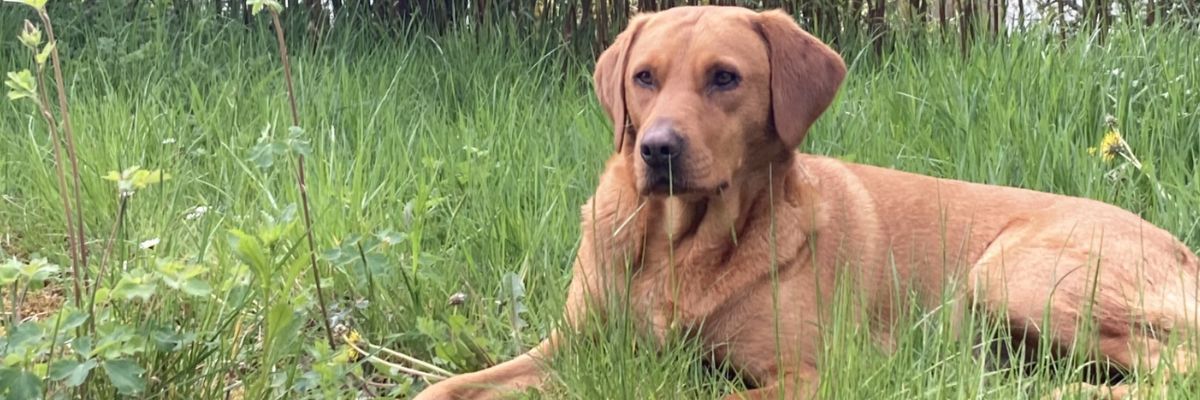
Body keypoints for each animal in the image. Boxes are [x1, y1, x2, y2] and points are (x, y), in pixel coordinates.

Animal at [416, 6, 1200, 399]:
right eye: (643, 77)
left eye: (725, 77)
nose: (657, 149)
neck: (681, 246)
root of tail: (1182, 247)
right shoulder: (573, 345)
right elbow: (449, 389)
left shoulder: (807, 375)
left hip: (1013, 275)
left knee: (1172, 368)